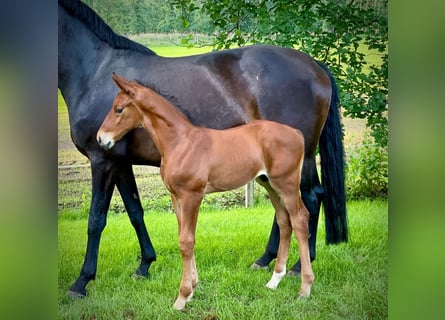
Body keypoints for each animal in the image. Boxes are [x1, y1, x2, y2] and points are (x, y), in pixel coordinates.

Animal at [97, 73, 312, 310]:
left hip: (287, 184)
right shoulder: (176, 198)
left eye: (118, 109)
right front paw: (192, 289)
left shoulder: (193, 196)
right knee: (284, 222)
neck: (180, 143)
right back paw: (274, 281)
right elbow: (184, 238)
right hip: (270, 184)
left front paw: (182, 297)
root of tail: (296, 133)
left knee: (300, 219)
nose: (100, 138)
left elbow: (186, 241)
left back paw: (305, 288)